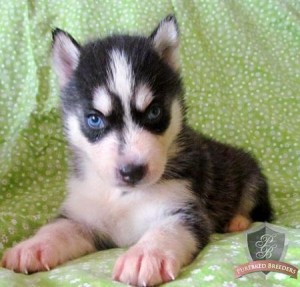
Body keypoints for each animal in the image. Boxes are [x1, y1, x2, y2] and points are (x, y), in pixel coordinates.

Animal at [1, 16, 272, 287]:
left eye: (154, 112)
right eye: (94, 119)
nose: (132, 171)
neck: (122, 196)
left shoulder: (185, 209)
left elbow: (167, 229)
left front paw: (146, 255)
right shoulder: (86, 217)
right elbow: (58, 228)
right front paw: (32, 246)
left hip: (251, 174)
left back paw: (238, 220)